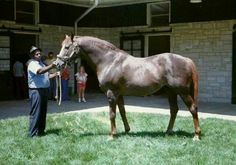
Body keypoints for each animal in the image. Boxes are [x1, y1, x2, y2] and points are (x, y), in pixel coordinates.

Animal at [55, 35, 201, 140]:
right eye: (62, 46)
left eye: (67, 47)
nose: (57, 64)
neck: (109, 61)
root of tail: (187, 60)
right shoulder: (119, 94)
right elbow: (122, 112)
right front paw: (126, 131)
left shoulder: (111, 93)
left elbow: (112, 114)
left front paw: (112, 135)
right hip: (171, 92)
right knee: (174, 110)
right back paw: (168, 132)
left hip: (182, 92)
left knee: (192, 109)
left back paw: (196, 135)